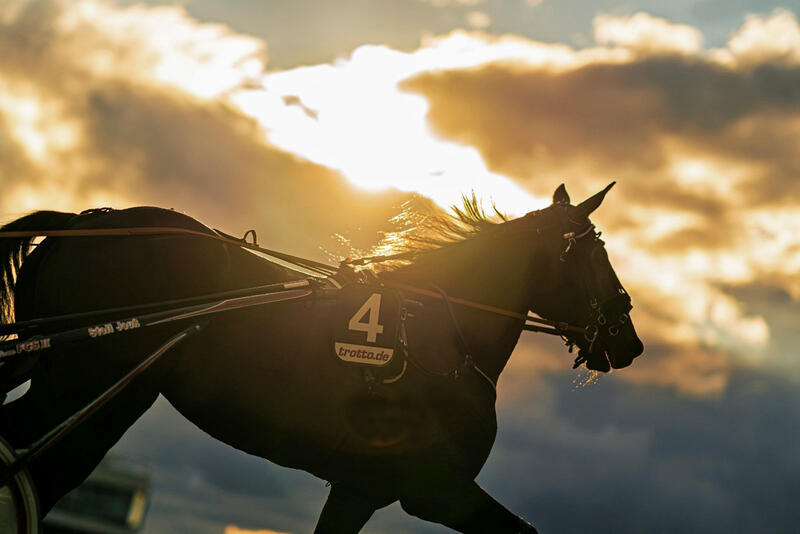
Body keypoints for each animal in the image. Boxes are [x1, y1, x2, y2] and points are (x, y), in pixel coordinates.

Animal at [0, 185, 636, 534]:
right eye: (596, 253)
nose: (630, 341)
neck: (439, 337)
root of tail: (87, 222)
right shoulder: (437, 490)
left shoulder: (358, 489)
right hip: (93, 389)